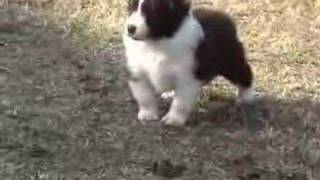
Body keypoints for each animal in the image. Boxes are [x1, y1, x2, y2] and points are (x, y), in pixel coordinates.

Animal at [123, 0, 258, 126]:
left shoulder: (187, 77)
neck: (156, 42)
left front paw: (173, 119)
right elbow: (144, 97)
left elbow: (180, 103)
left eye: (152, 10)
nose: (130, 28)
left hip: (231, 62)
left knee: (245, 74)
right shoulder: (138, 73)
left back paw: (247, 97)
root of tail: (223, 16)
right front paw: (148, 115)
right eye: (132, 8)